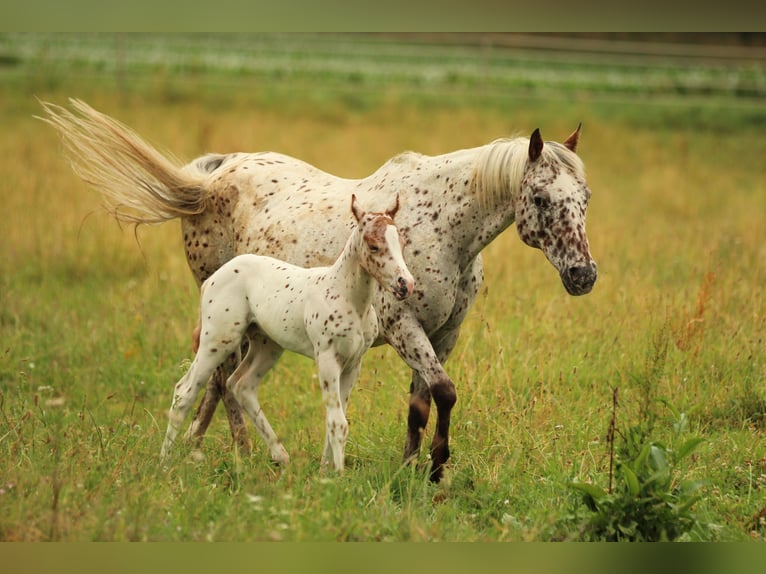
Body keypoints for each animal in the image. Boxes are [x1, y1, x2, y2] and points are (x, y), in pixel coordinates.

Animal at [161, 194, 414, 471]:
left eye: (401, 243)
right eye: (373, 246)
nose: (406, 284)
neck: (347, 298)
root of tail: (211, 280)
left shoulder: (353, 363)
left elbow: (337, 418)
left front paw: (325, 470)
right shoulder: (327, 358)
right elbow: (338, 422)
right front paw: (338, 474)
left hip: (266, 346)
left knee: (241, 385)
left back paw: (280, 456)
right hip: (217, 340)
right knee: (185, 391)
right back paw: (164, 463)